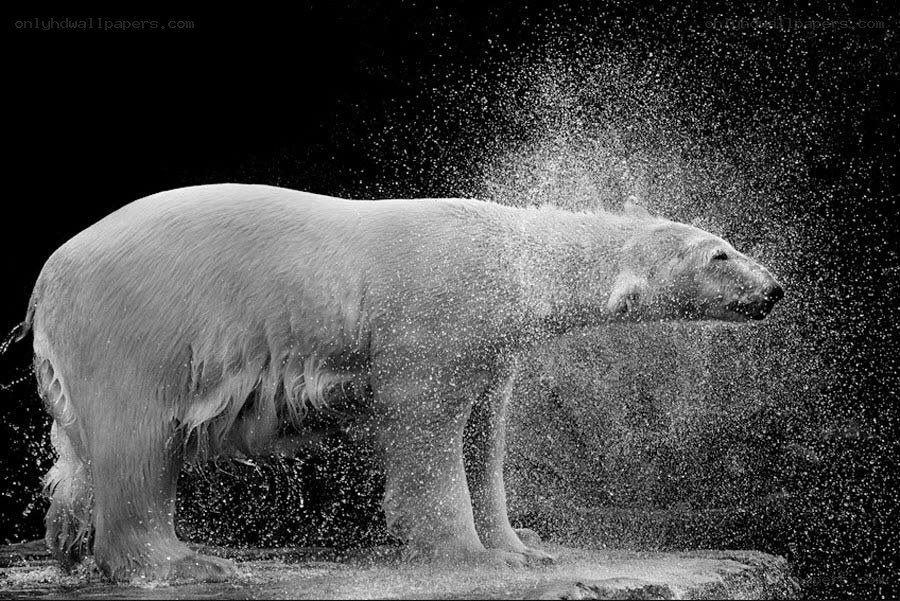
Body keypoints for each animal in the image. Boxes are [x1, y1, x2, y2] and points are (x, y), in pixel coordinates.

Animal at [17, 184, 783, 582]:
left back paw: (68, 541)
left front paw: (522, 542)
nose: (775, 289)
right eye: (719, 255)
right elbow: (427, 427)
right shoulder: (435, 314)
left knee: (82, 455)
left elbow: (485, 434)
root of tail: (48, 277)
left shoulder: (494, 345)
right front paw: (469, 555)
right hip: (140, 323)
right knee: (140, 441)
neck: (511, 255)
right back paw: (190, 563)